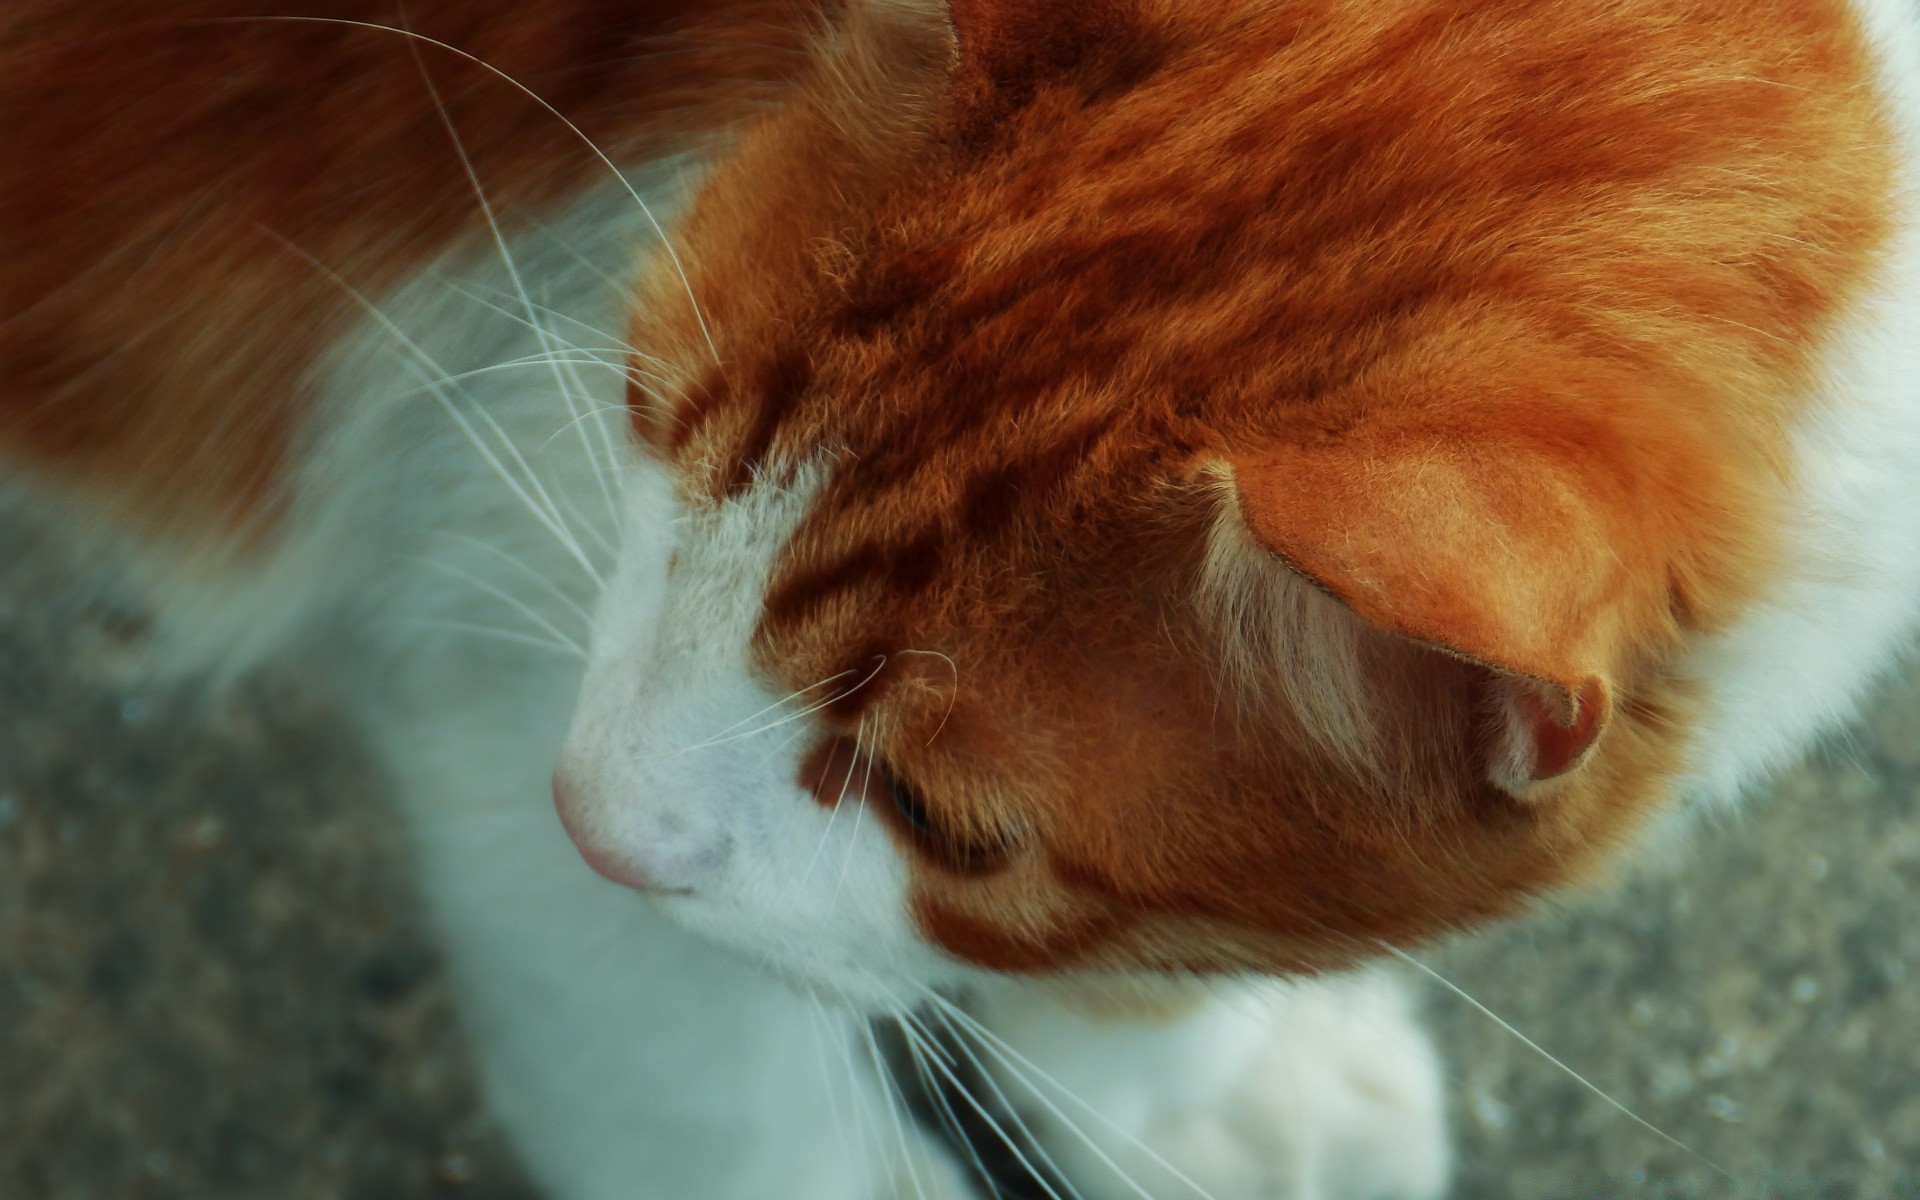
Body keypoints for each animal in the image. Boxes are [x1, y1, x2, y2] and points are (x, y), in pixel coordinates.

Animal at [3, 2, 1920, 1198]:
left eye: (941, 816)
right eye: (642, 412)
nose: (594, 815)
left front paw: (1190, 1095)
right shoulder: (485, 603)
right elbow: (705, 1109)